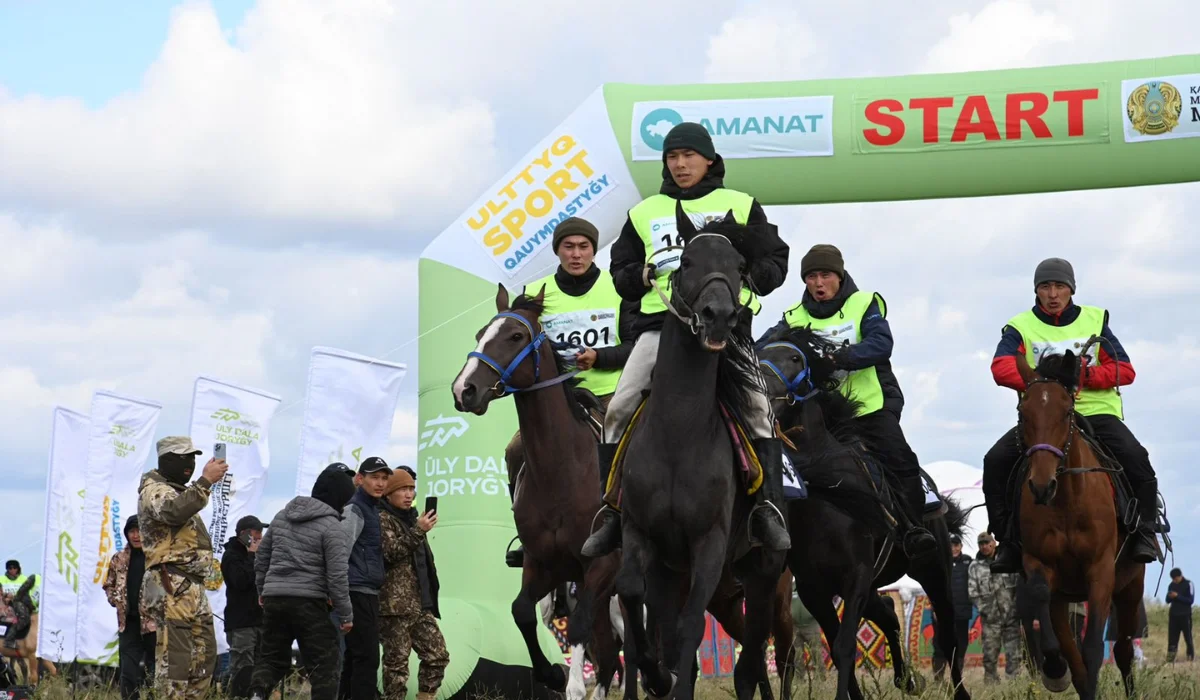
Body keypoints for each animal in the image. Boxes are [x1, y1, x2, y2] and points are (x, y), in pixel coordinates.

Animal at [448, 284, 619, 696]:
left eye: (515, 336)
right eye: (480, 334)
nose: (465, 390)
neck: (565, 472)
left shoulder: (600, 566)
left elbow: (578, 626)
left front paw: (571, 684)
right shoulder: (543, 564)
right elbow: (521, 612)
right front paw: (552, 674)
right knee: (610, 656)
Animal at [758, 326, 974, 700]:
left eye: (796, 358)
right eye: (757, 355)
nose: (763, 395)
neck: (826, 491)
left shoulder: (856, 575)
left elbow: (845, 645)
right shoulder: (815, 589)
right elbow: (836, 646)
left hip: (934, 570)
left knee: (948, 637)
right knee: (888, 613)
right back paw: (906, 679)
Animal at [1017, 350, 1147, 700]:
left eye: (1066, 412)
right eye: (1023, 411)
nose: (1041, 486)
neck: (1067, 503)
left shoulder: (1100, 571)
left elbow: (1092, 651)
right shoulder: (1040, 565)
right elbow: (1068, 656)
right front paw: (1054, 669)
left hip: (1131, 587)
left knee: (1124, 651)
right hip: (1064, 597)